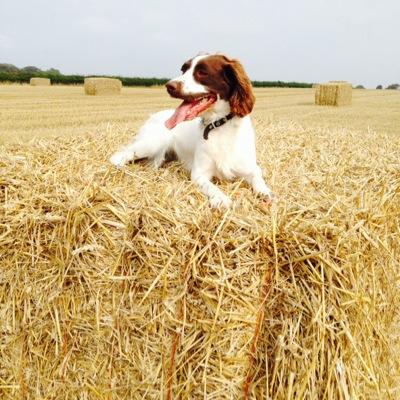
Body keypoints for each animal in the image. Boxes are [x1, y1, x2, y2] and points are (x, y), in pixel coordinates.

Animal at [109, 53, 274, 208]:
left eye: (202, 72)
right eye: (183, 70)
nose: (169, 86)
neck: (219, 125)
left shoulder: (250, 168)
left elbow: (258, 178)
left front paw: (265, 192)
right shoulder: (199, 174)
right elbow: (212, 187)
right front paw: (221, 199)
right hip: (152, 143)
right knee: (120, 155)